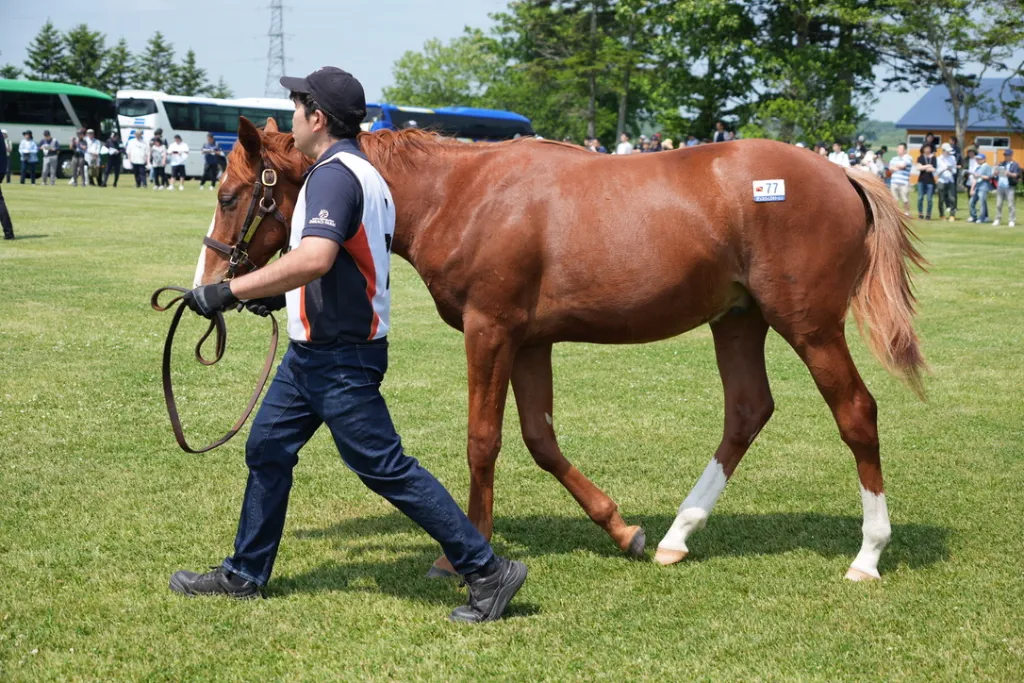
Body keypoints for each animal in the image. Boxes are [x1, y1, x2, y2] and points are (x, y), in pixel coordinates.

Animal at [195, 116, 925, 582]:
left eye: (230, 194)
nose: (208, 285)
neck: (463, 194)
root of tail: (841, 174)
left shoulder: (491, 329)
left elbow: (483, 440)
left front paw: (462, 554)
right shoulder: (530, 341)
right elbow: (540, 440)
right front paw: (620, 528)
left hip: (810, 327)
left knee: (856, 413)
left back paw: (868, 553)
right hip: (738, 320)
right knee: (747, 411)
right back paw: (675, 537)